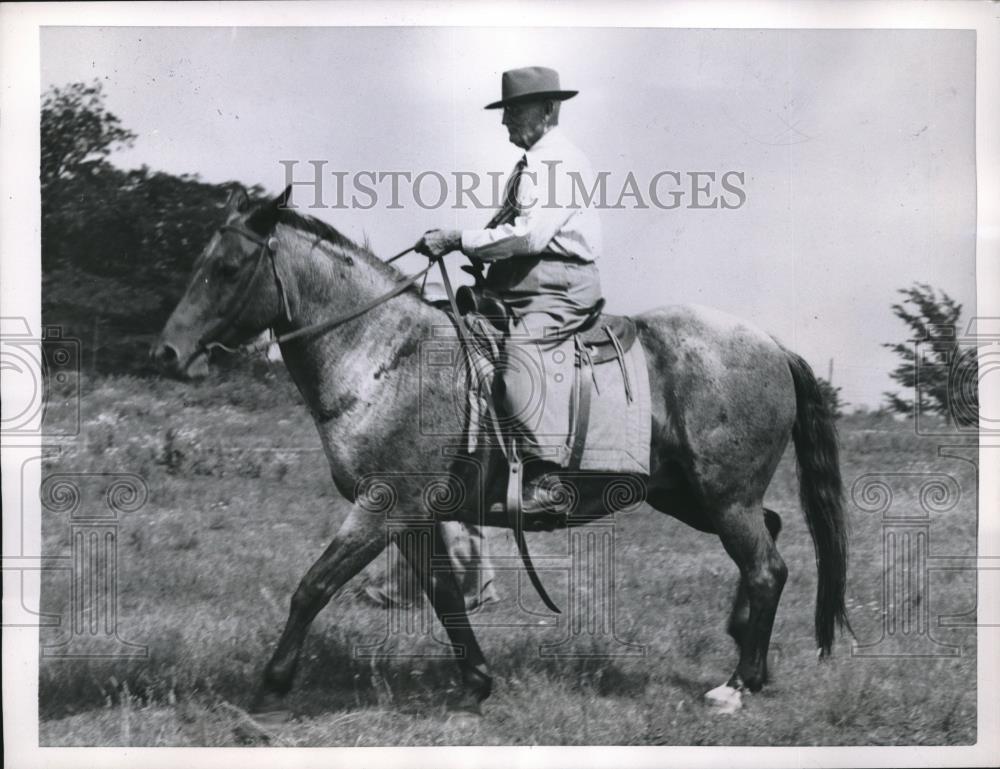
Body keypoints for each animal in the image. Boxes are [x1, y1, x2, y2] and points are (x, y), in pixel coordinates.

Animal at [152, 186, 848, 720]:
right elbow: (443, 596)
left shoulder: (381, 507)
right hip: (691, 496)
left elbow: (313, 586)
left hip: (723, 497)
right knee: (771, 538)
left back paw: (737, 685)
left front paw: (270, 689)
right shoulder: (415, 517)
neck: (385, 356)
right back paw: (746, 655)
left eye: (228, 267)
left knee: (766, 568)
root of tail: (771, 344)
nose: (167, 353)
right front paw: (476, 684)